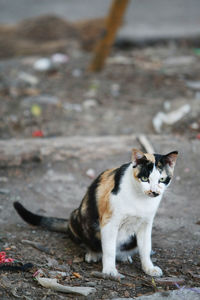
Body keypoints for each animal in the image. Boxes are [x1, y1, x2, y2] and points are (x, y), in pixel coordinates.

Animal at [13, 149, 177, 278]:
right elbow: (109, 250)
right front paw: (109, 270)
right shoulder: (109, 222)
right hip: (77, 215)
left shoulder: (146, 224)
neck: (140, 199)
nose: (153, 192)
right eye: (144, 178)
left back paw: (124, 257)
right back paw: (93, 254)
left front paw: (149, 268)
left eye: (162, 179)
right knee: (91, 244)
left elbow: (146, 248)